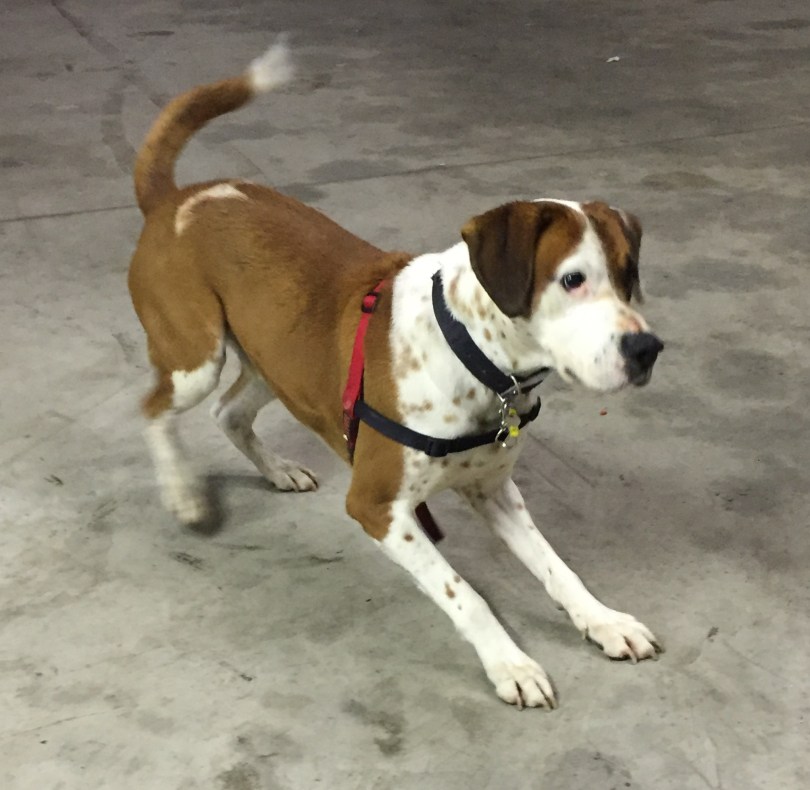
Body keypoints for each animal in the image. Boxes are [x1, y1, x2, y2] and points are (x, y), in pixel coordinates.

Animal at [128, 41, 664, 709]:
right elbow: (467, 595)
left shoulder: (495, 491)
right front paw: (510, 663)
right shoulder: (377, 506)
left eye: (627, 274)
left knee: (229, 413)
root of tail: (174, 199)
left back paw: (277, 471)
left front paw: (604, 620)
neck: (471, 354)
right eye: (572, 279)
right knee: (154, 410)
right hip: (194, 359)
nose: (649, 349)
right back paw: (182, 493)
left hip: (274, 364)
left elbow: (557, 567)